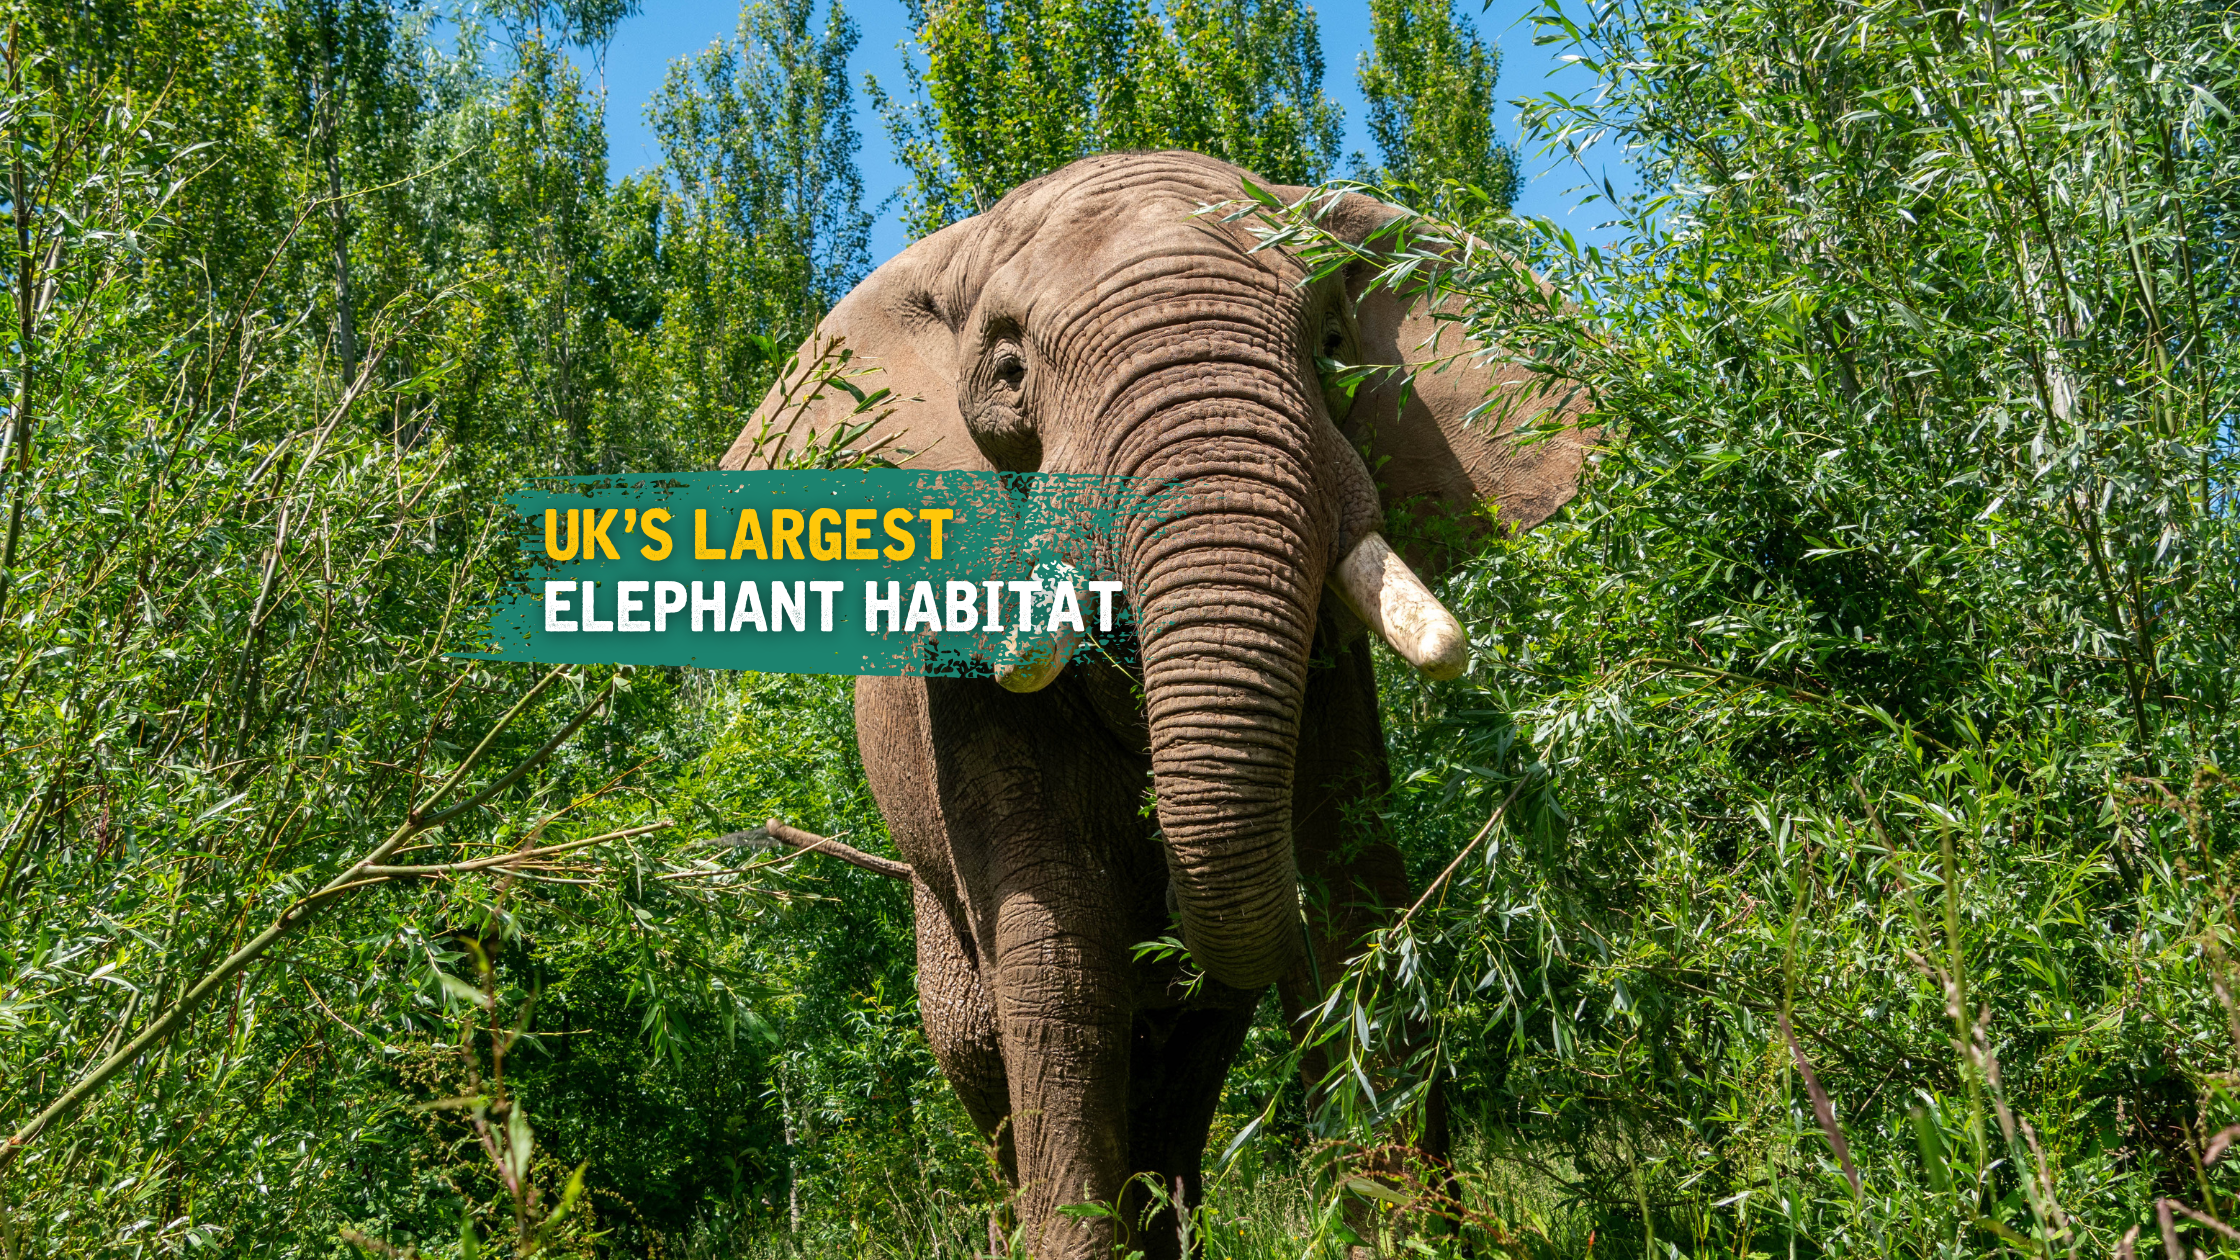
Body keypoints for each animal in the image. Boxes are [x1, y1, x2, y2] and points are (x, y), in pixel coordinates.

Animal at [722, 150, 1591, 1258]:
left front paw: (1403, 1231)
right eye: (1009, 373)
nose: (1165, 889)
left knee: (1187, 1055)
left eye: (1333, 347)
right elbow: (1058, 960)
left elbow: (1349, 904)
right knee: (979, 1044)